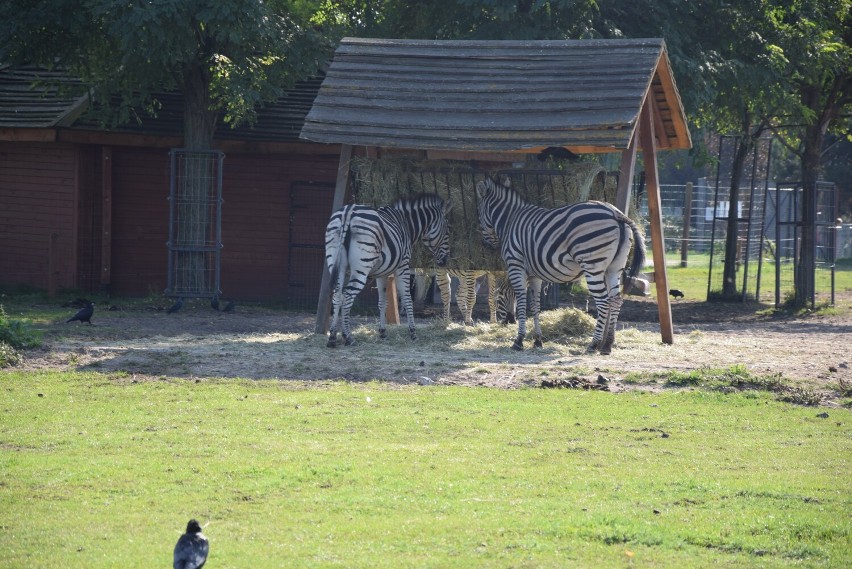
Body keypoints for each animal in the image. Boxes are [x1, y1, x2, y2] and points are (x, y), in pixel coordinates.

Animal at [322, 194, 452, 346]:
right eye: (447, 231)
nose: (444, 261)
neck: (406, 224)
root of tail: (348, 211)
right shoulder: (403, 265)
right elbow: (407, 298)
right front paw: (413, 333)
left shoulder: (381, 273)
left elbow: (382, 302)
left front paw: (382, 332)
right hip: (362, 266)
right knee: (347, 296)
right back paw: (348, 336)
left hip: (336, 262)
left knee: (337, 295)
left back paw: (332, 336)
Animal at [472, 180, 644, 352]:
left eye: (479, 215)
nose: (487, 245)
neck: (510, 220)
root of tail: (616, 213)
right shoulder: (534, 274)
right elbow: (535, 305)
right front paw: (537, 340)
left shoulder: (516, 265)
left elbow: (521, 301)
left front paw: (519, 340)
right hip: (614, 267)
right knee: (616, 300)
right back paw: (607, 345)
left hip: (592, 264)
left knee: (603, 301)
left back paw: (593, 344)